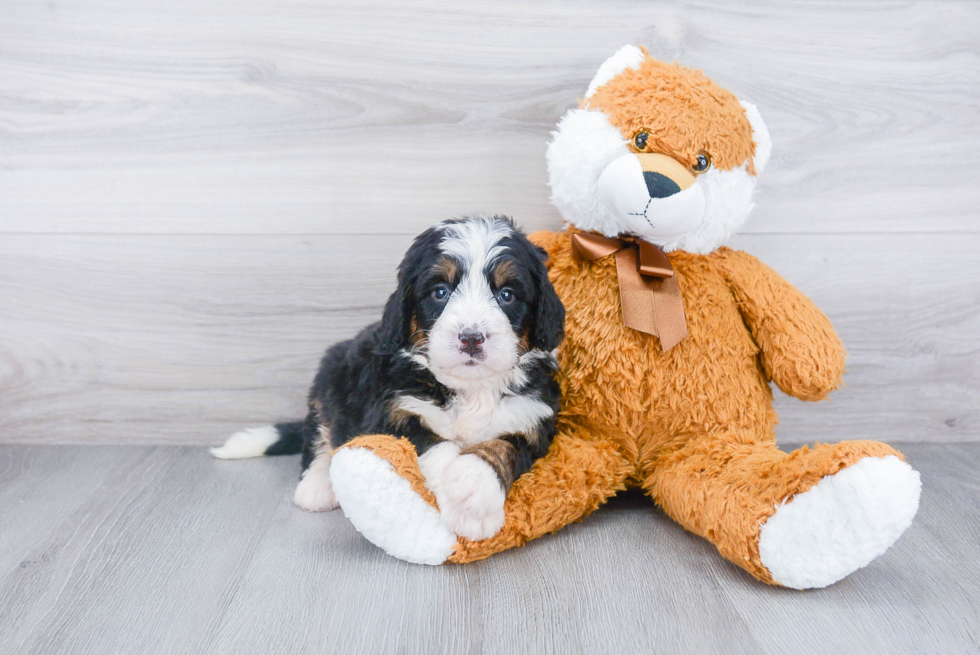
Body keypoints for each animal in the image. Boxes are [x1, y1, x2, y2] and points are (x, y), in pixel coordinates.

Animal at [214, 218, 568, 540]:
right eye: (440, 292)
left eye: (507, 294)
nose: (471, 338)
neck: (470, 387)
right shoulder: (392, 412)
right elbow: (434, 444)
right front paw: (462, 505)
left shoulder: (532, 421)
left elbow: (500, 447)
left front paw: (473, 492)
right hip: (330, 374)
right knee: (320, 433)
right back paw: (317, 485)